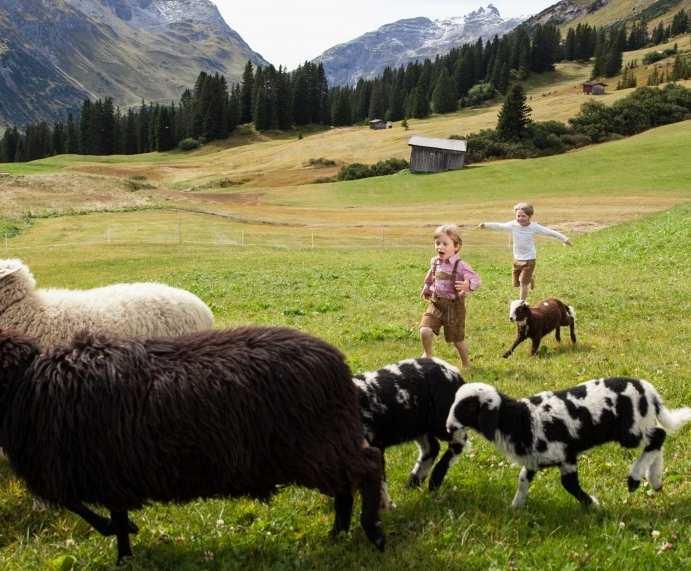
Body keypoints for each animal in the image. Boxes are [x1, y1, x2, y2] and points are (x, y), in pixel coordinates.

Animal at [0, 326, 390, 564]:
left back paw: (373, 533)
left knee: (369, 466)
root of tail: (335, 363)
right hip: (322, 444)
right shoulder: (107, 470)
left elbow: (84, 508)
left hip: (316, 445)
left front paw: (123, 547)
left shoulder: (88, 468)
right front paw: (125, 549)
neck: (27, 383)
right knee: (347, 485)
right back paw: (337, 533)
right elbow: (103, 511)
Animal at [354, 358, 468, 510]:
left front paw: (387, 507)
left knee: (459, 441)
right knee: (432, 447)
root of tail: (455, 373)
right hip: (417, 425)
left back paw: (434, 480)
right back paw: (414, 482)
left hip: (443, 420)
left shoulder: (372, 446)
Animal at [448, 380, 691, 510]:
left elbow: (569, 485)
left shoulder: (566, 456)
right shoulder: (534, 460)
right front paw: (516, 507)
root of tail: (648, 390)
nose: (448, 427)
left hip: (630, 431)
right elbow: (523, 479)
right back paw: (655, 478)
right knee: (657, 442)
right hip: (639, 426)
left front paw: (593, 504)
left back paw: (635, 478)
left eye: (466, 408)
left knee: (658, 436)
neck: (521, 419)